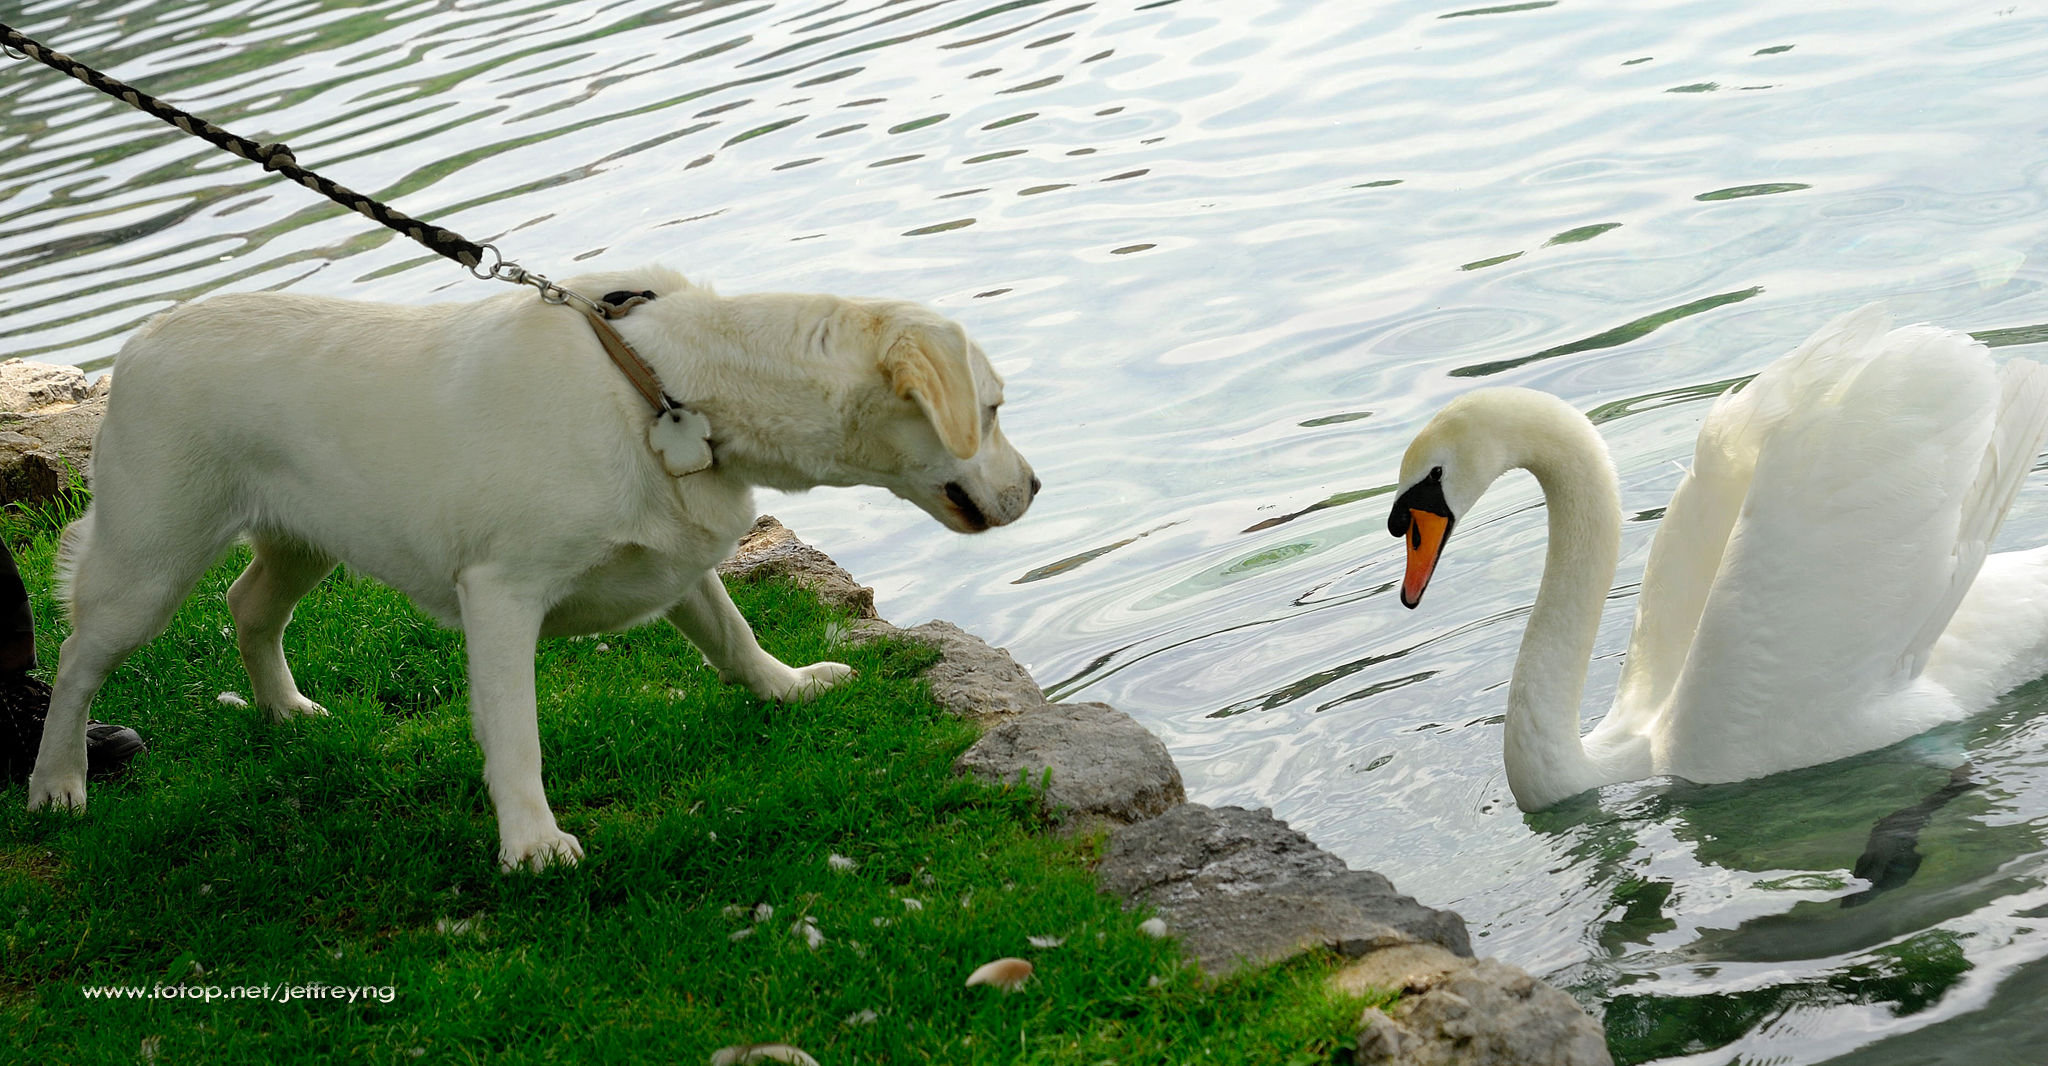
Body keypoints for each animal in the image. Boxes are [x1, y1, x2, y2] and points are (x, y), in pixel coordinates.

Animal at [27, 267, 1038, 871]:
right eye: (990, 410)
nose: (1033, 487)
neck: (667, 387)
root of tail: (139, 341)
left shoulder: (675, 551)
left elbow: (732, 630)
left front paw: (786, 686)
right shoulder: (501, 594)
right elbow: (517, 738)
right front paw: (532, 842)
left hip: (303, 539)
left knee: (248, 605)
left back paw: (286, 710)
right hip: (149, 559)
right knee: (78, 658)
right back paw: (57, 782)